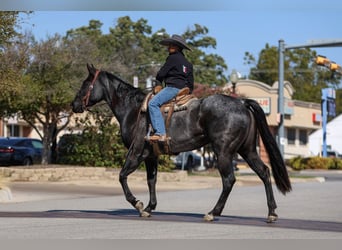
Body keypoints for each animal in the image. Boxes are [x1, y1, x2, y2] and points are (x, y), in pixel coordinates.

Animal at [71, 64, 292, 223]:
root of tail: (242, 102)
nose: (74, 105)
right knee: (264, 172)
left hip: (223, 152)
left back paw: (213, 212)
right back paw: (271, 213)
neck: (134, 110)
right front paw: (150, 207)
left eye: (85, 84)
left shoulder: (136, 153)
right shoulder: (151, 156)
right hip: (247, 150)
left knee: (229, 180)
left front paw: (139, 205)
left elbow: (122, 176)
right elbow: (151, 180)